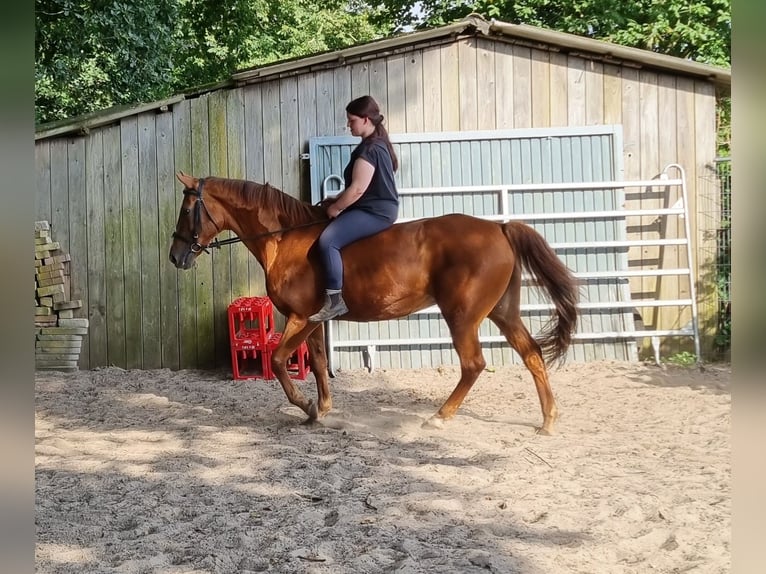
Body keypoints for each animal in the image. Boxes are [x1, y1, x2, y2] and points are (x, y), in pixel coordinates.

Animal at [168, 173, 576, 434]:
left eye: (187, 210)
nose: (175, 256)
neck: (284, 239)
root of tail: (499, 228)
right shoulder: (313, 320)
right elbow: (318, 363)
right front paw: (321, 412)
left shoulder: (299, 317)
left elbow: (281, 361)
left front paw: (306, 406)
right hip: (502, 312)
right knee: (532, 354)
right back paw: (548, 420)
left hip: (463, 317)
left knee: (473, 364)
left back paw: (439, 417)